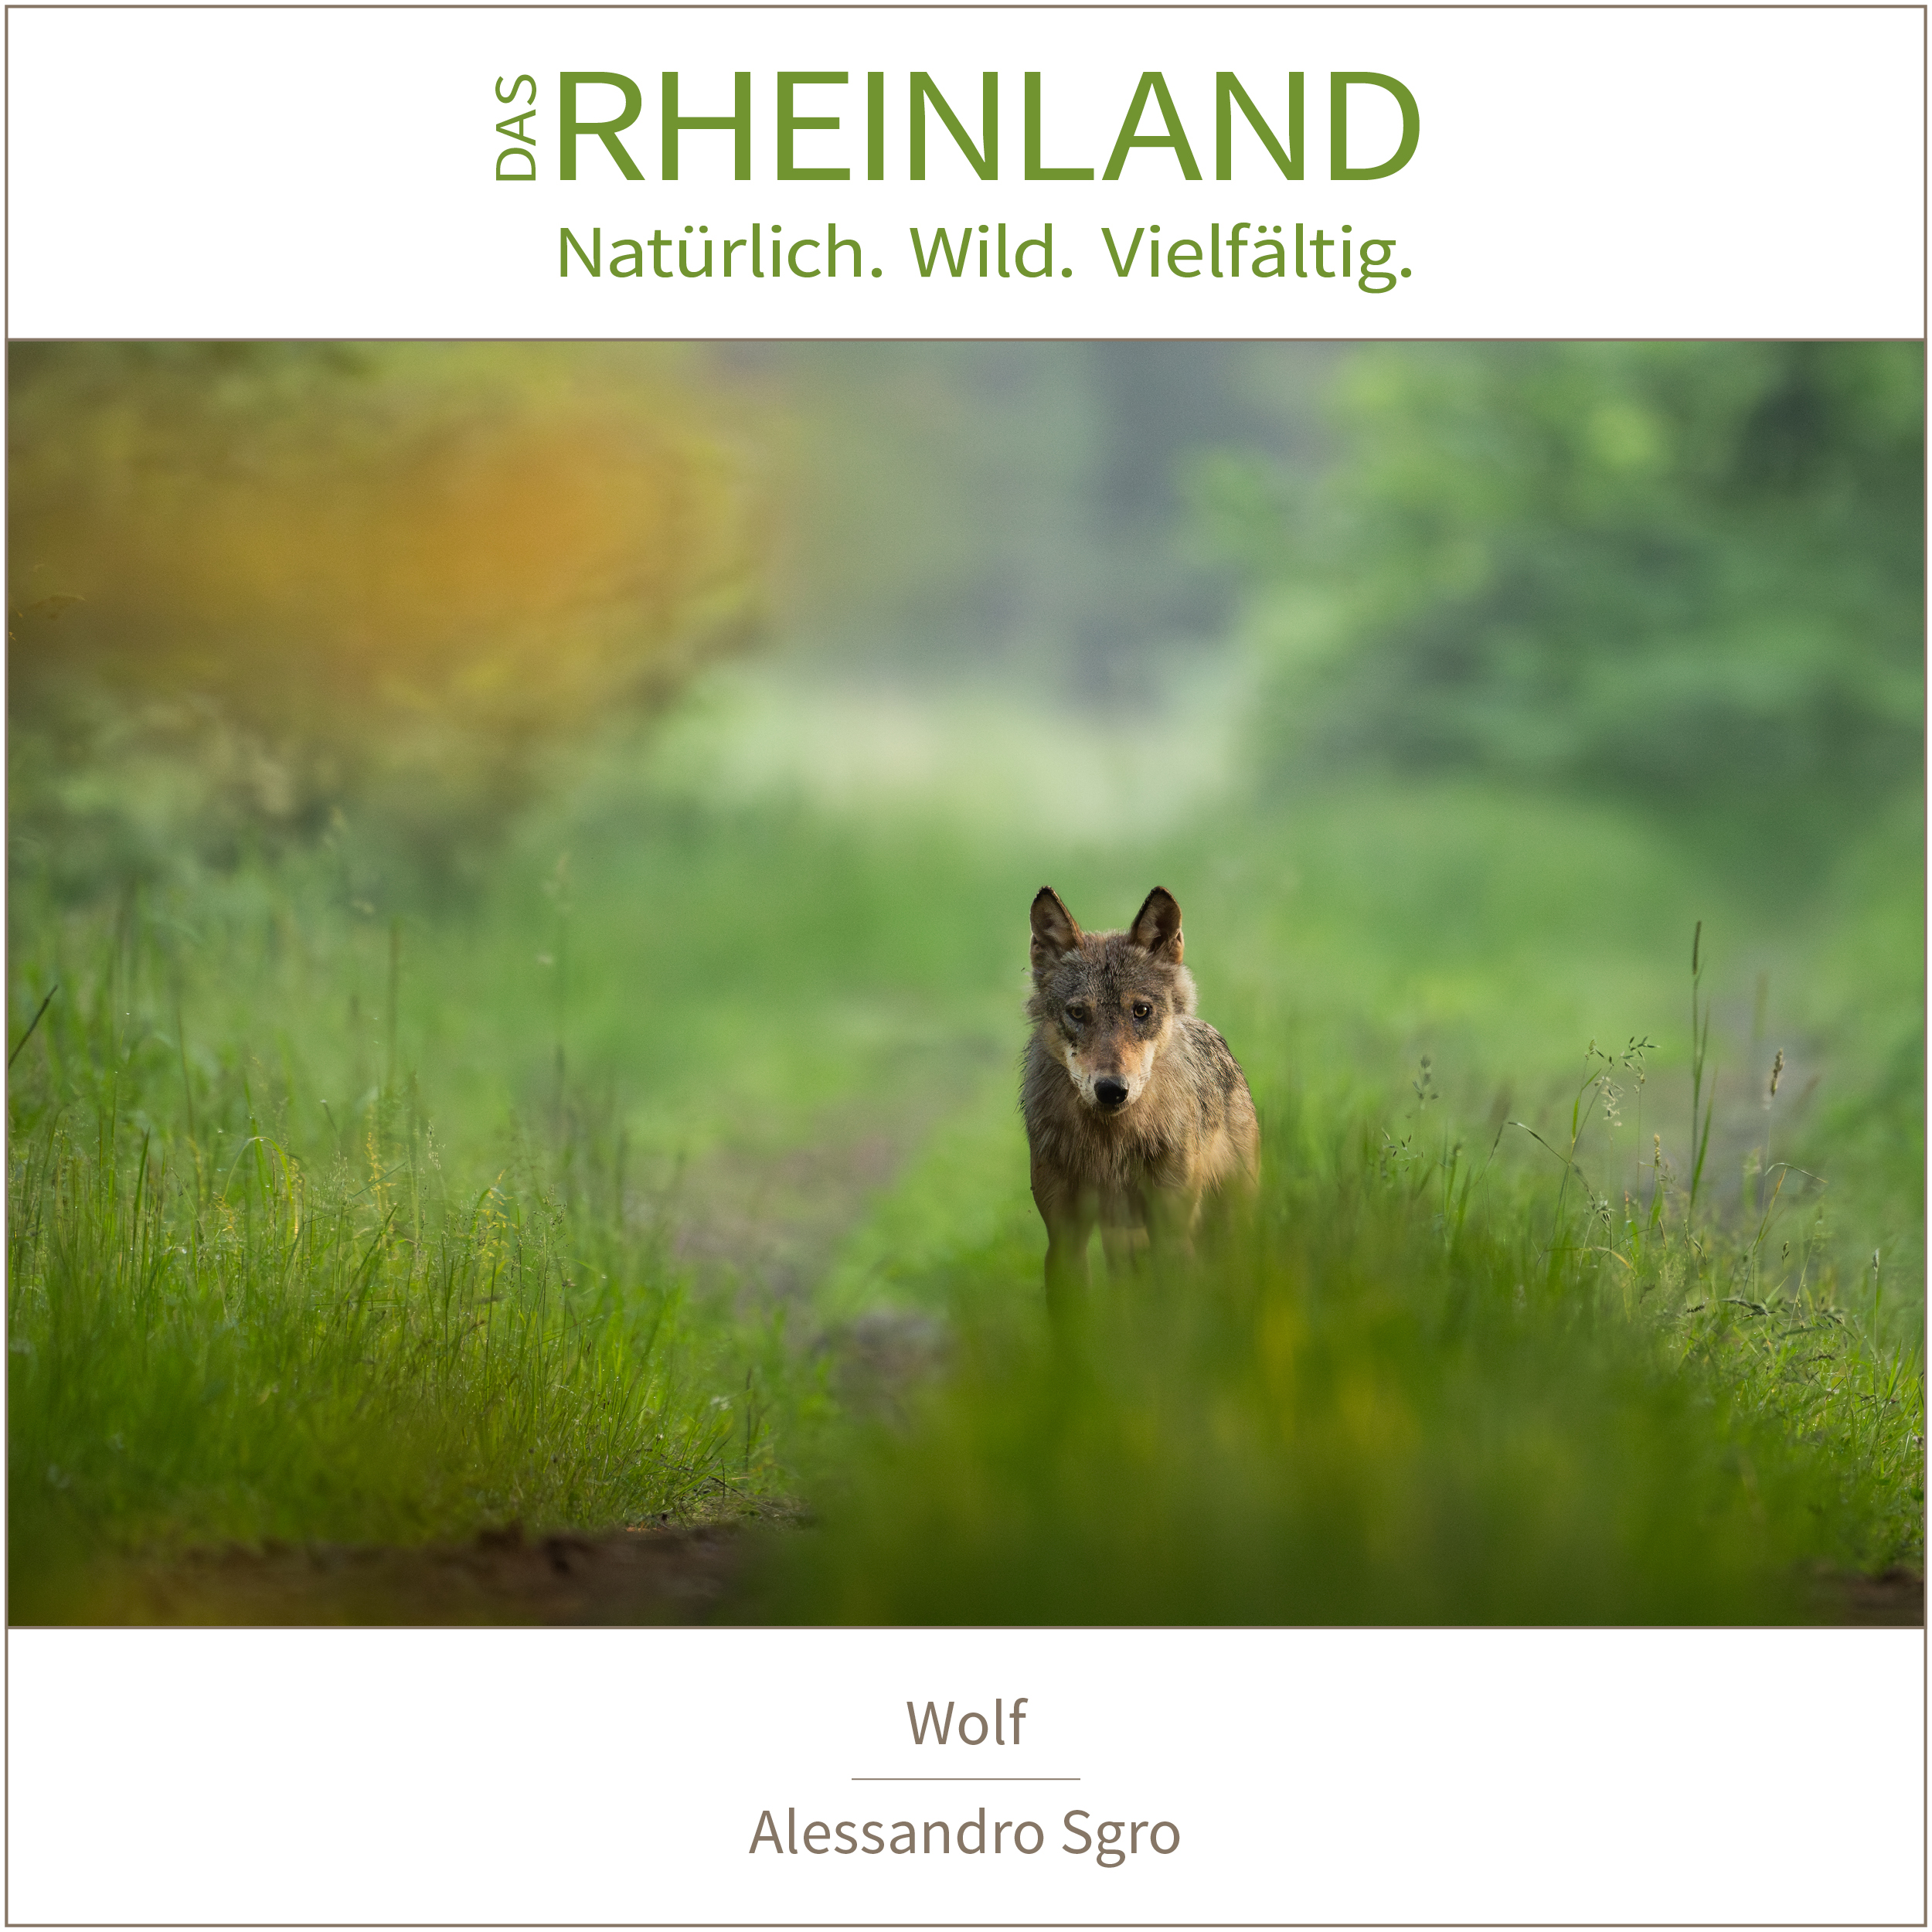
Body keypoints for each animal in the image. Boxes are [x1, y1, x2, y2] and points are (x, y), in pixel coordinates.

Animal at [1022, 885, 1259, 1299]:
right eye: (1078, 1013)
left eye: (1141, 1011)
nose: (1112, 1090)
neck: (1110, 1145)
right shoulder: (1065, 1241)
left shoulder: (1172, 1233)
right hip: (1125, 1243)